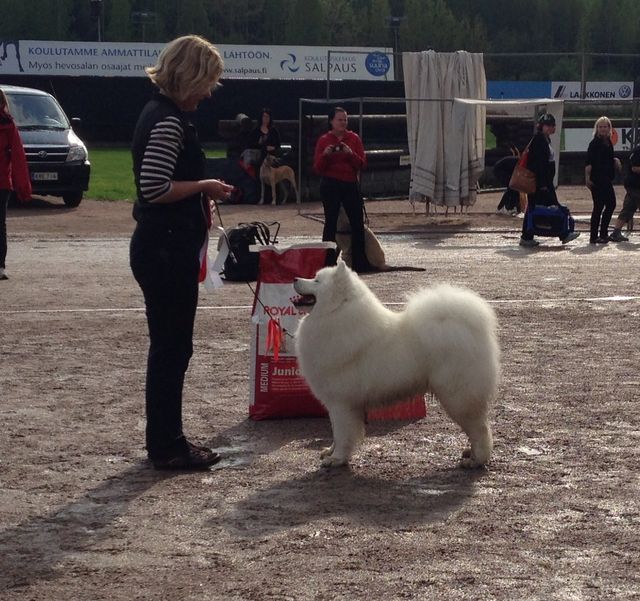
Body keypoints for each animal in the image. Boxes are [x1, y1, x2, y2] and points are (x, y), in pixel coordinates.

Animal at [294, 262, 500, 468]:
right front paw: (330, 451)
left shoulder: (341, 403)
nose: (295, 279)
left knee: (480, 430)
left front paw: (336, 459)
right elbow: (336, 435)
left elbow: (342, 434)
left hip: (458, 396)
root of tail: (471, 329)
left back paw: (476, 460)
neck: (336, 313)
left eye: (317, 281)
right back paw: (470, 453)